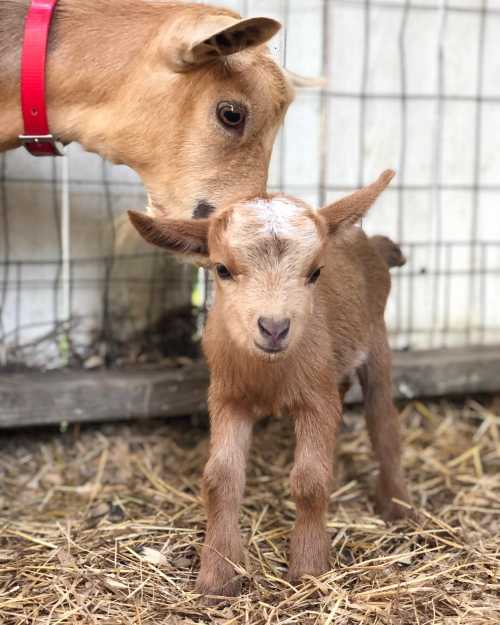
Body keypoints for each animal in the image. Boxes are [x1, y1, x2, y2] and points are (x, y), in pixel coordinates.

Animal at [128, 169, 410, 596]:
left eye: (315, 272)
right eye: (222, 269)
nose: (274, 328)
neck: (269, 373)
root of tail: (370, 242)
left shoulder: (316, 398)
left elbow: (310, 481)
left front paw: (309, 568)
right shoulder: (227, 396)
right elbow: (220, 478)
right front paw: (217, 576)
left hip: (377, 338)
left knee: (383, 419)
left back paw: (396, 505)